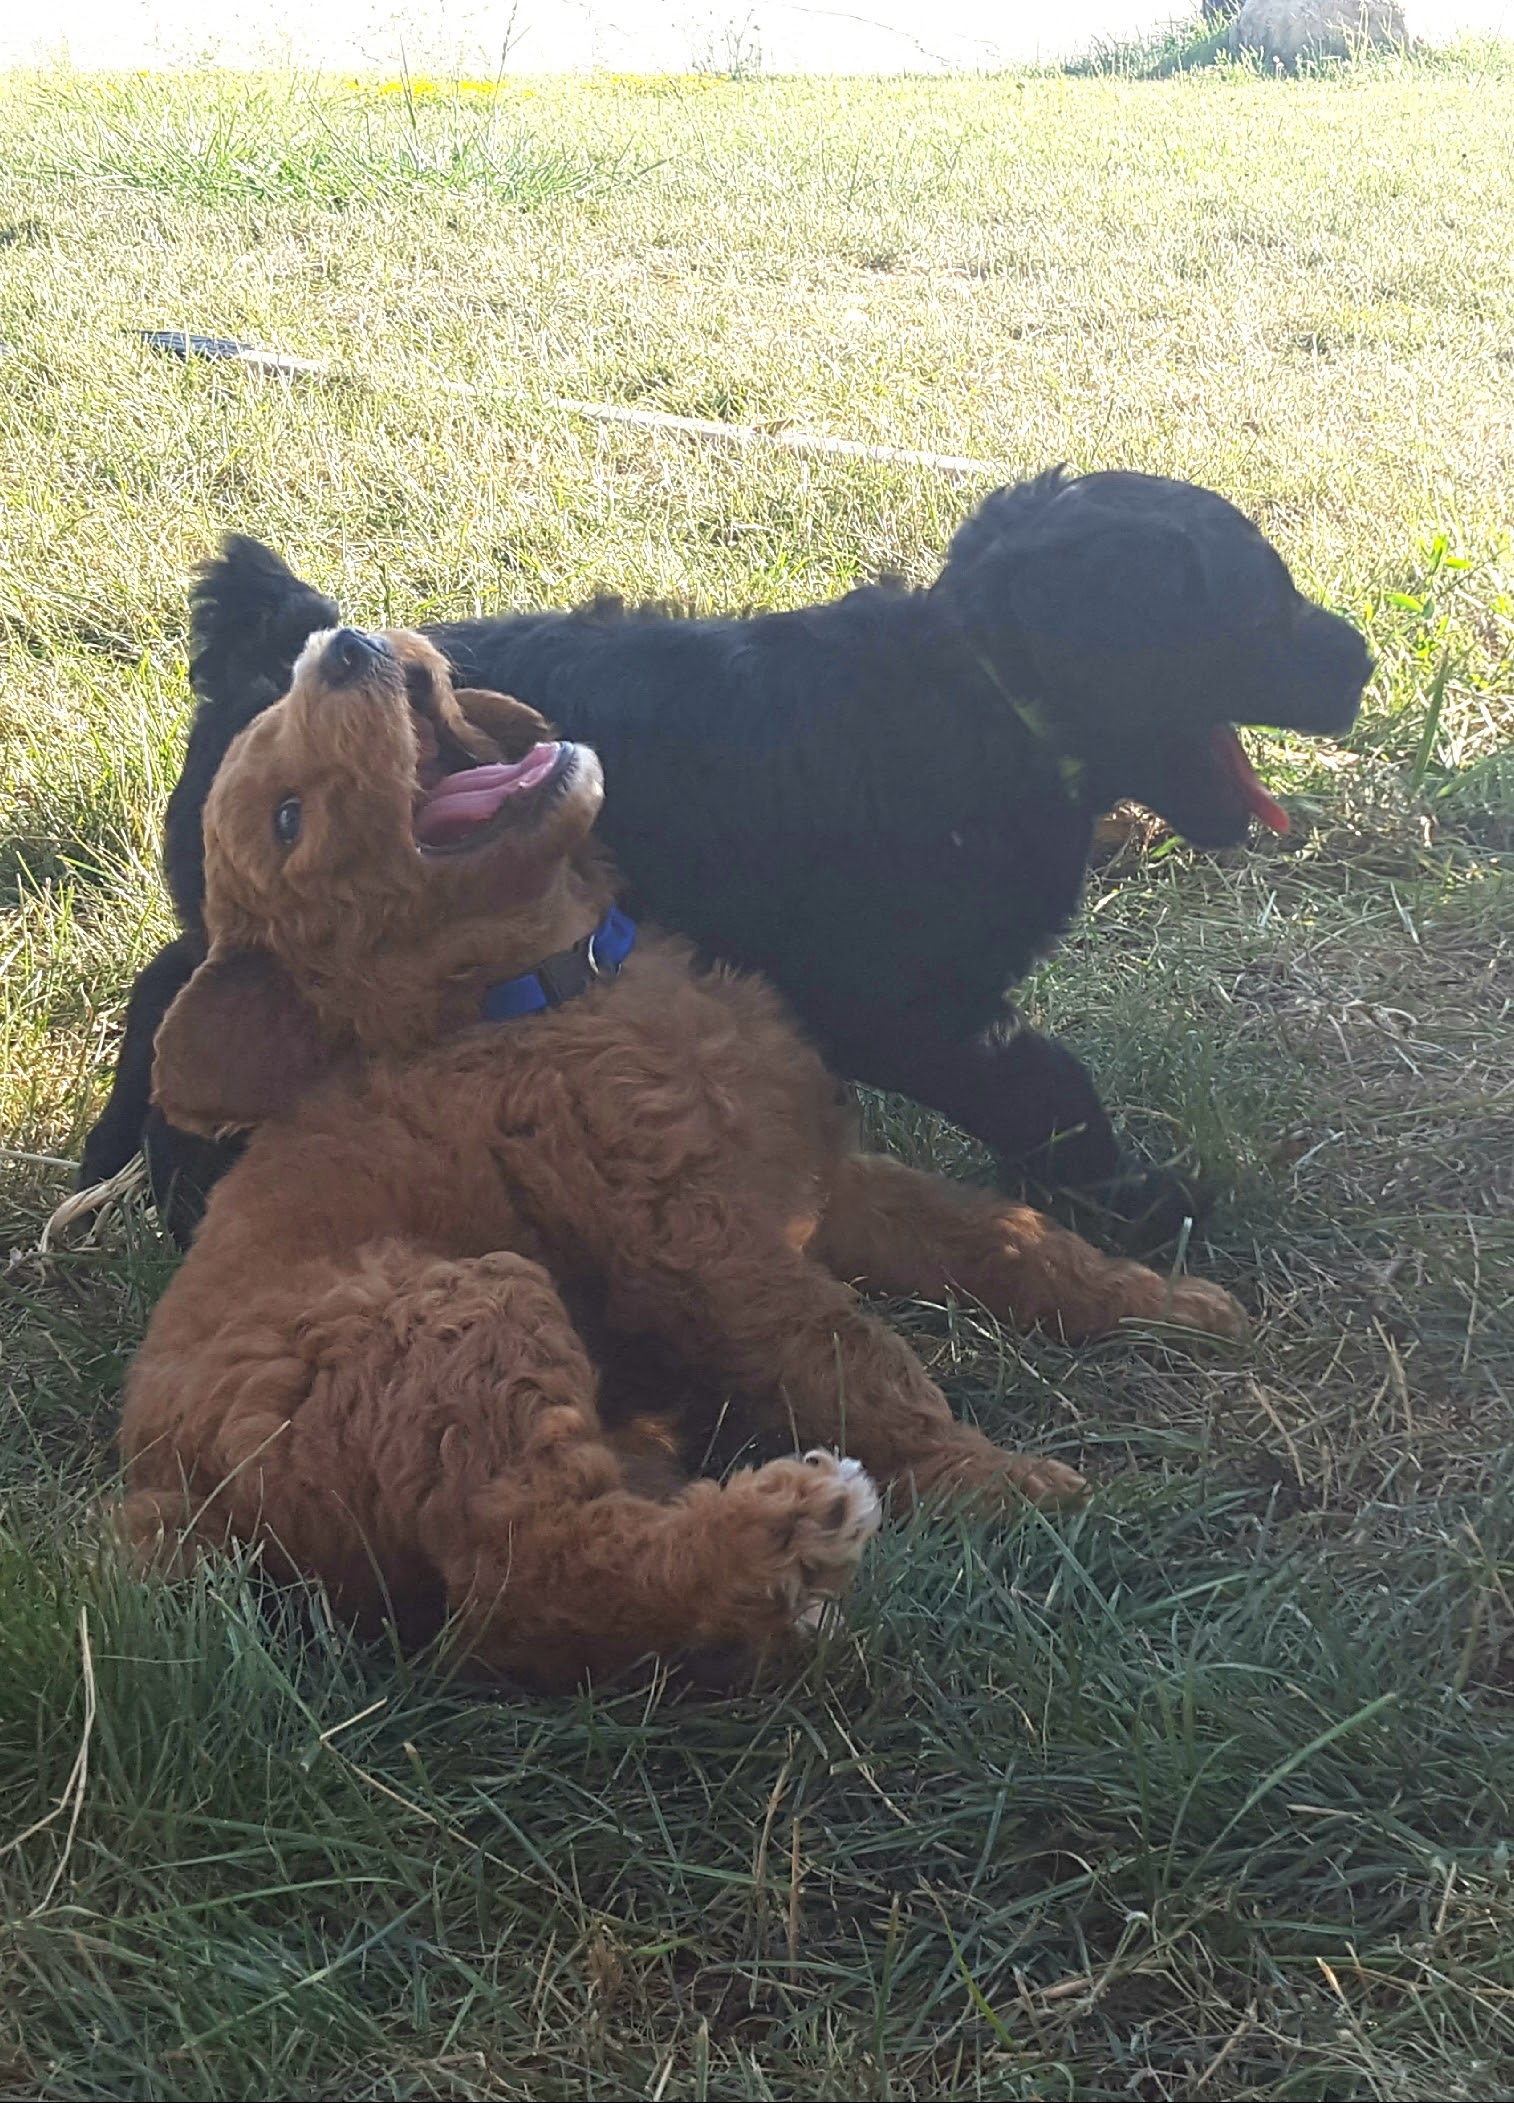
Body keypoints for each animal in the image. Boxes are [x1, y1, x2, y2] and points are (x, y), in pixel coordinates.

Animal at [74, 468, 1371, 1244]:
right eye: (1258, 607)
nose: (1359, 660)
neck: (983, 692)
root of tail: (276, 655)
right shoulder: (903, 1000)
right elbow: (1043, 1084)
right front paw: (1136, 1203)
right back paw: (180, 1194)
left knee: (169, 986)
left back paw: (111, 1153)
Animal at [121, 622, 1244, 1690]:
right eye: (287, 818)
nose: (345, 645)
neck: (550, 983)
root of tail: (173, 1488)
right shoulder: (703, 1242)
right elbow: (856, 1358)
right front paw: (995, 1480)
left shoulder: (819, 1181)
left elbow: (1004, 1240)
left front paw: (1159, 1300)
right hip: (457, 1312)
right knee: (529, 1570)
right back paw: (787, 1529)